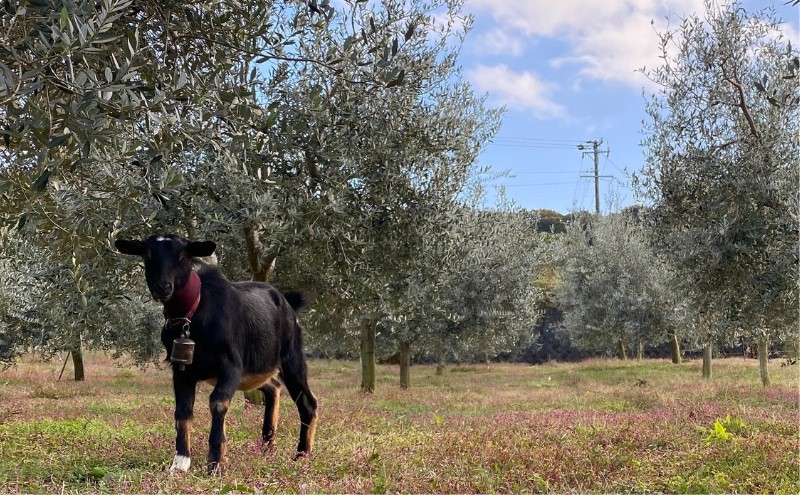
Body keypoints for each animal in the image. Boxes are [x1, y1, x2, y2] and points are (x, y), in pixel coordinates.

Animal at [113, 234, 318, 474]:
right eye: (147, 255)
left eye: (183, 255)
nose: (163, 287)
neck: (194, 313)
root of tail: (286, 301)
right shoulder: (181, 370)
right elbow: (182, 411)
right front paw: (180, 463)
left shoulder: (231, 366)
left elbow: (218, 403)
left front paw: (216, 462)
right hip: (255, 369)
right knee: (273, 387)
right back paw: (267, 447)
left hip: (291, 358)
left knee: (307, 403)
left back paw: (302, 455)